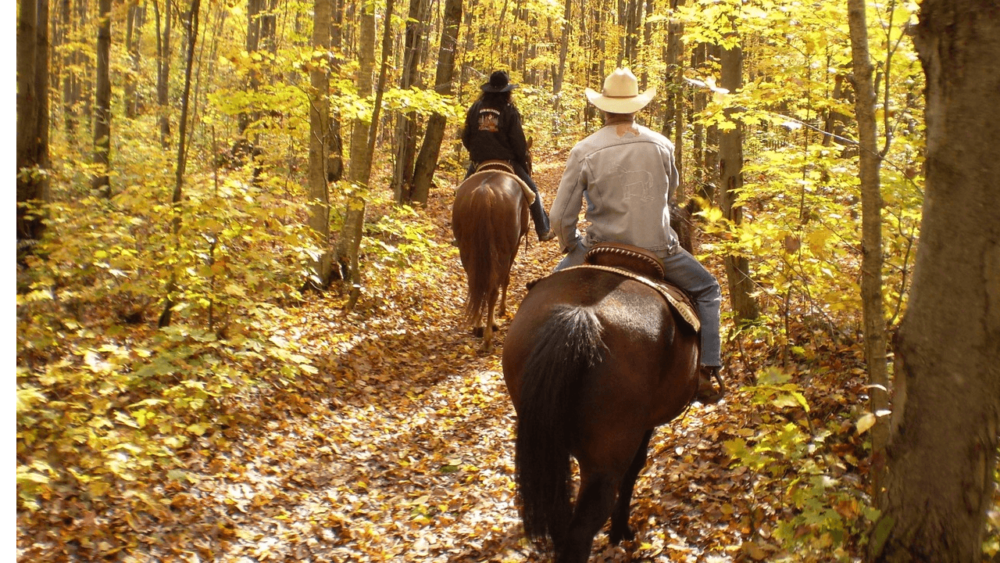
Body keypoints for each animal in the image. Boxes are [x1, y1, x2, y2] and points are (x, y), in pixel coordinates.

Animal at [454, 164, 532, 352]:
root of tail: (484, 192)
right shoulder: (514, 246)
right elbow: (506, 279)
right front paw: (502, 310)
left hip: (467, 251)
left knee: (475, 284)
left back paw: (478, 327)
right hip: (502, 252)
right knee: (492, 289)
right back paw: (489, 336)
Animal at [500, 217, 704, 563]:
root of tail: (580, 316)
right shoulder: (643, 428)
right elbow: (635, 469)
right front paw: (620, 530)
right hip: (605, 460)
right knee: (581, 530)